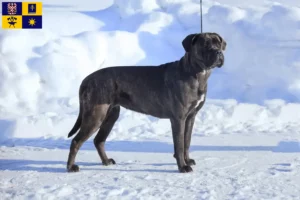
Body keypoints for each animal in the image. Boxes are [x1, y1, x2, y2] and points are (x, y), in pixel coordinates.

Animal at [67, 32, 226, 173]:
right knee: (76, 141)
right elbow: (179, 145)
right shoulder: (178, 119)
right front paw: (183, 167)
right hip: (95, 115)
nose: (218, 52)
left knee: (99, 140)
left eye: (218, 43)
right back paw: (71, 167)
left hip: (110, 115)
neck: (195, 72)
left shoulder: (190, 117)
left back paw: (106, 161)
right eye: (205, 44)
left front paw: (187, 160)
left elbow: (187, 141)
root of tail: (86, 80)